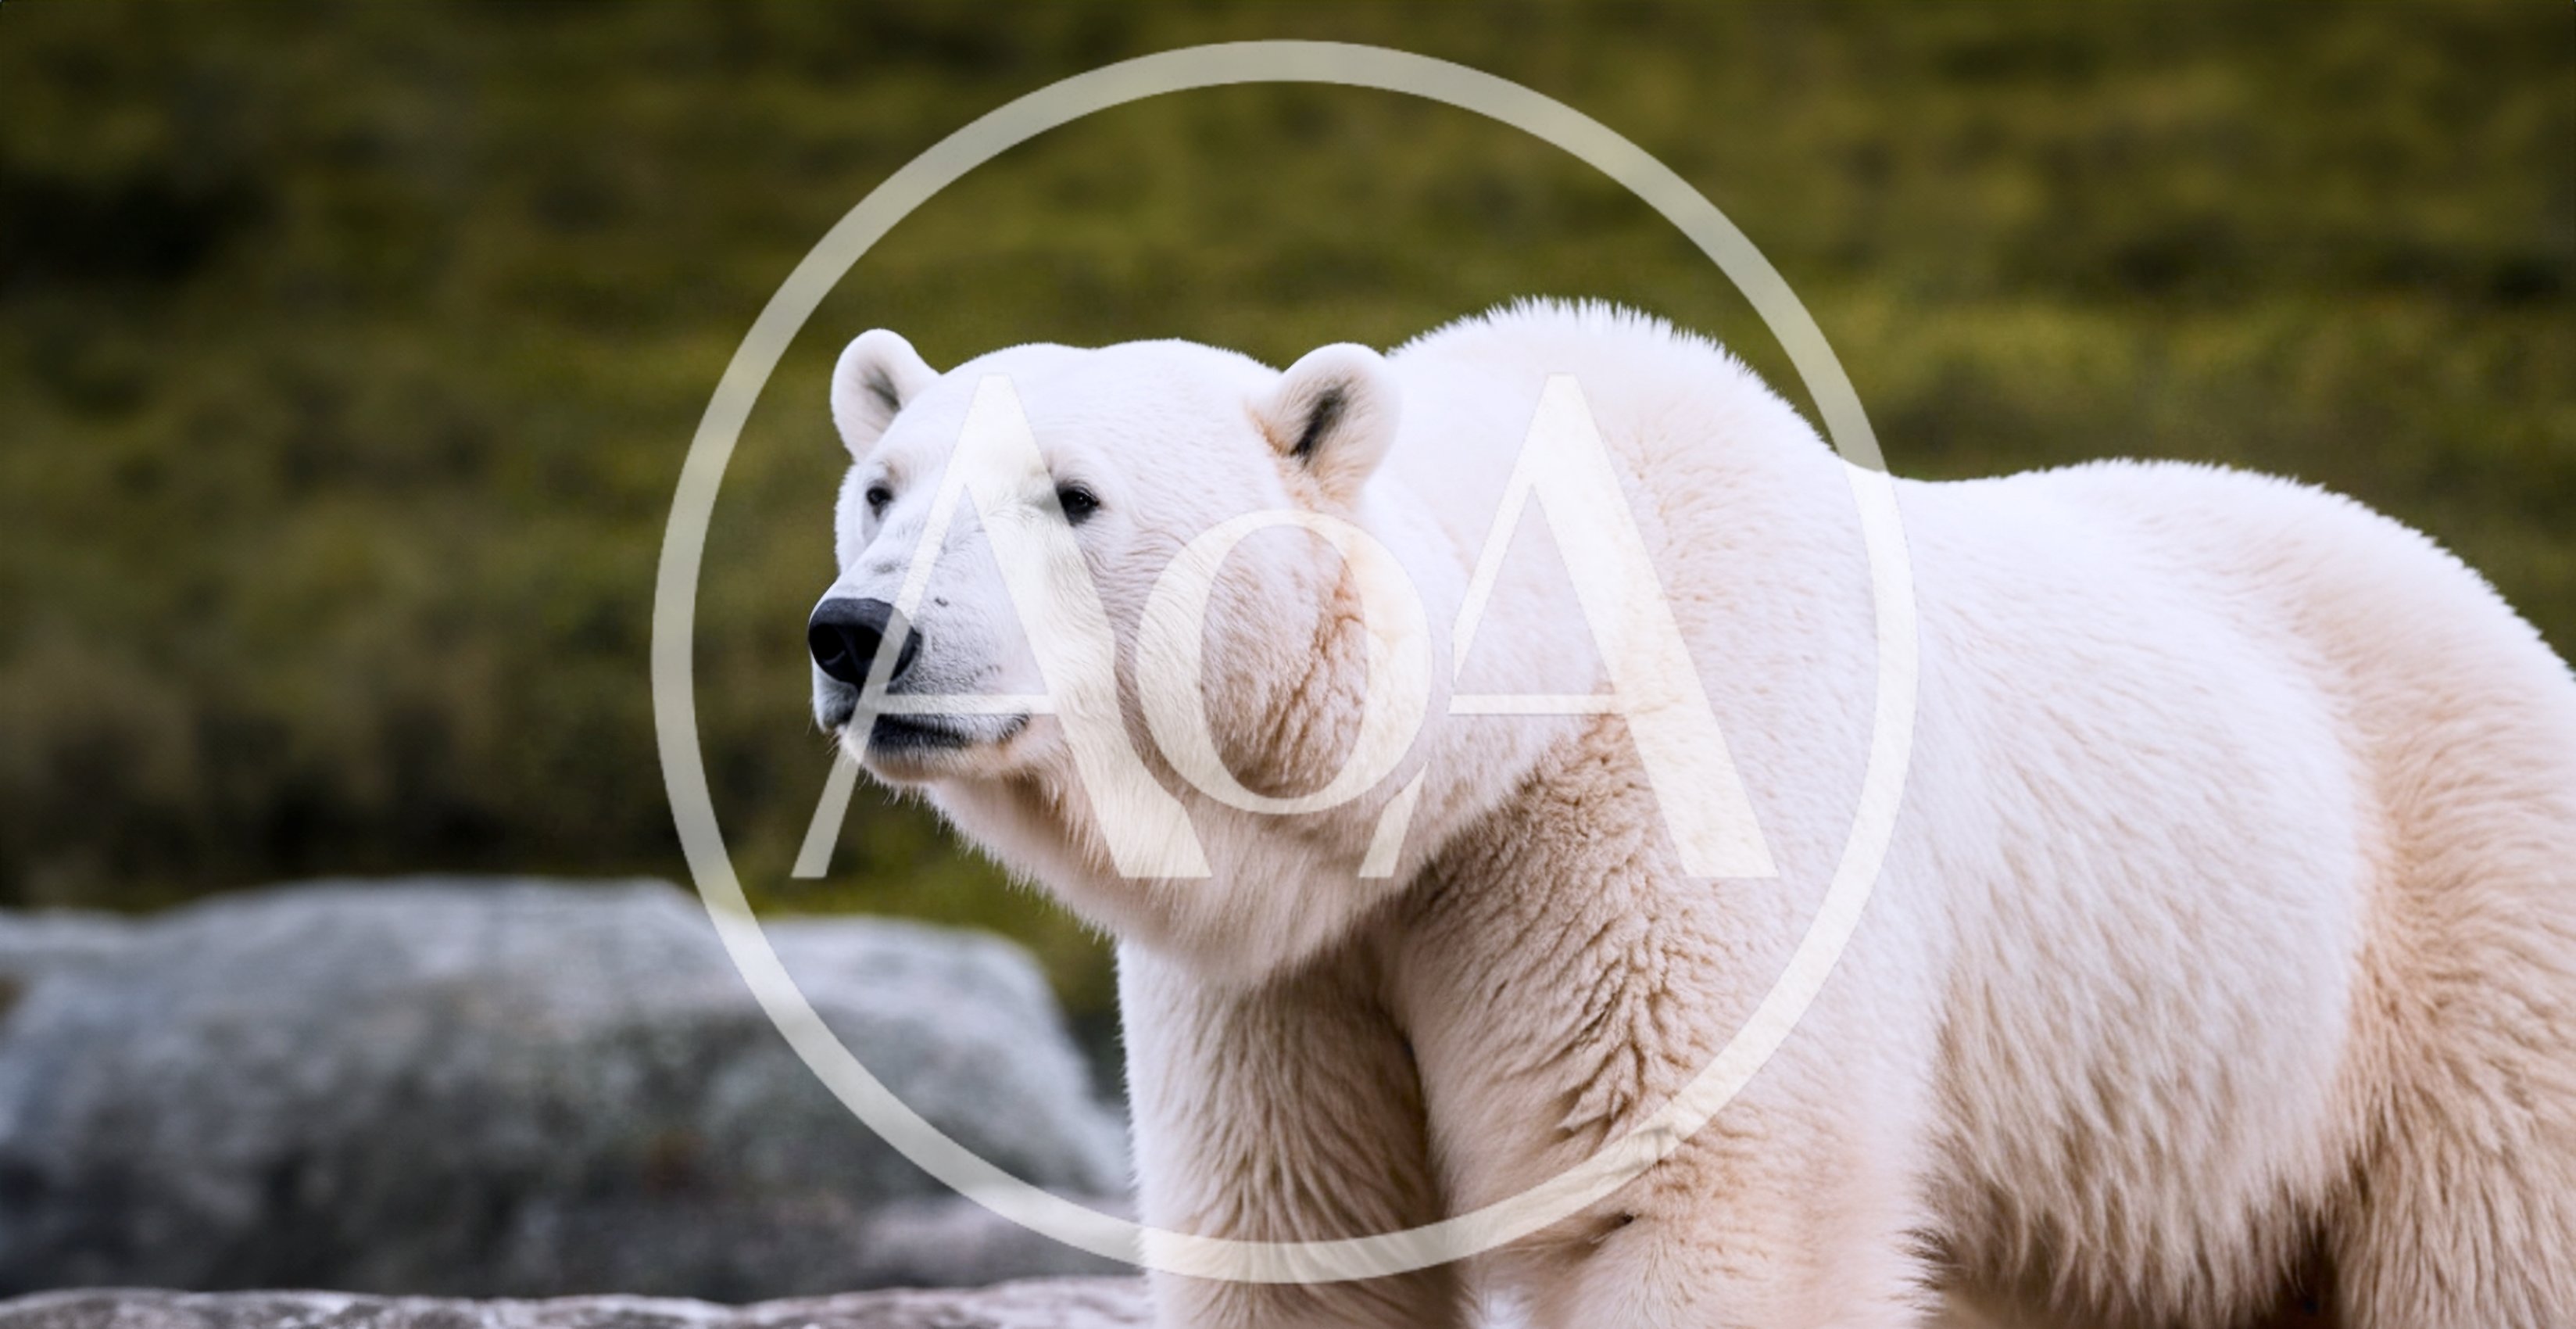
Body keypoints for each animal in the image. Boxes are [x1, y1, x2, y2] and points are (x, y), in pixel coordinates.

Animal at [805, 301, 2576, 1329]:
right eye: (882, 485)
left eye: (1071, 496)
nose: (857, 632)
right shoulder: (1296, 966)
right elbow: (1299, 1229)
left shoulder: (1673, 813)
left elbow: (1700, 1195)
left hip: (2463, 956)